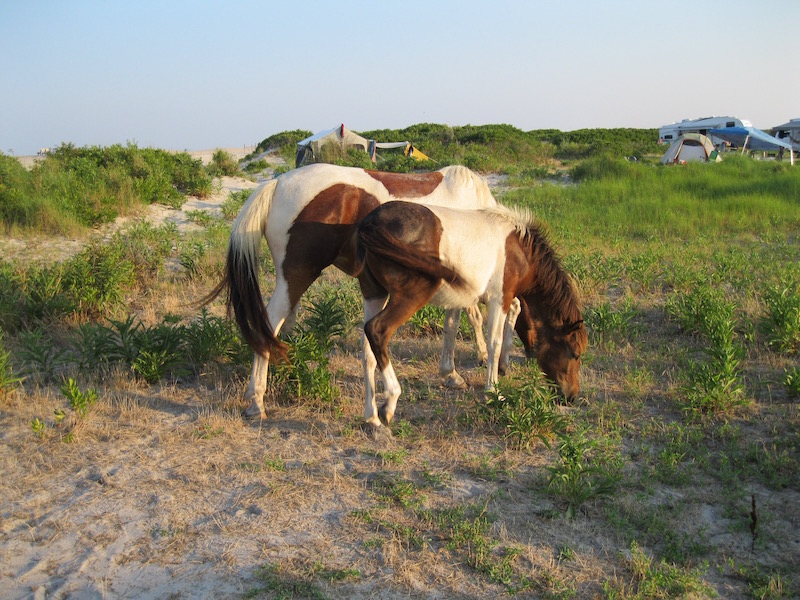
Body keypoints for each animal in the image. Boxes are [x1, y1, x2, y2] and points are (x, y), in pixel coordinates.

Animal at [203, 162, 516, 420]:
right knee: (268, 323)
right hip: (296, 277)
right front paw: (468, 366)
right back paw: (257, 400)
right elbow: (464, 320)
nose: (505, 367)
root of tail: (277, 183)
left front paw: (456, 370)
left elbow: (461, 320)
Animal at [356, 203, 588, 432]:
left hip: (374, 295)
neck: (520, 250)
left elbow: (453, 328)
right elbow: (494, 343)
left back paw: (372, 416)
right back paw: (389, 403)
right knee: (377, 331)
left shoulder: (465, 300)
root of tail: (371, 222)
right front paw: (493, 391)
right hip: (410, 297)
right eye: (575, 354)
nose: (571, 397)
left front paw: (456, 374)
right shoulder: (499, 299)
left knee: (368, 351)